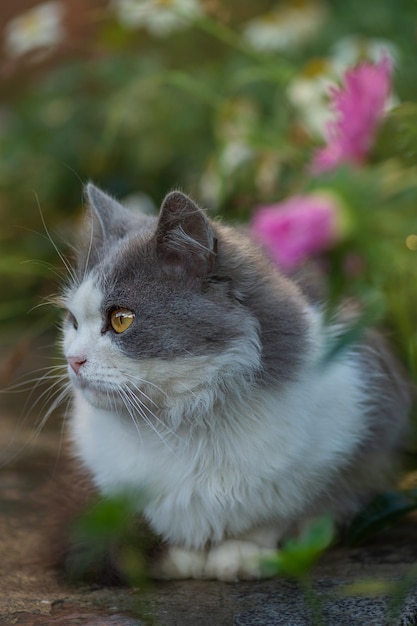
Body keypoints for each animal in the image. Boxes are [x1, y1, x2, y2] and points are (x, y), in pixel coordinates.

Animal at [57, 183, 410, 584]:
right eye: (72, 321)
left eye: (120, 320)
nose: (73, 360)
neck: (187, 421)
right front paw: (182, 559)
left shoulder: (343, 440)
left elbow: (273, 517)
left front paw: (240, 556)